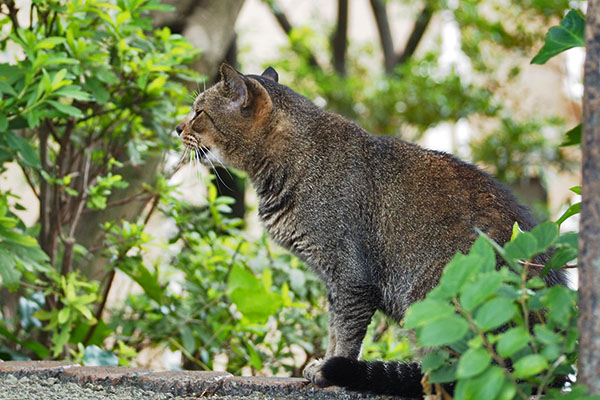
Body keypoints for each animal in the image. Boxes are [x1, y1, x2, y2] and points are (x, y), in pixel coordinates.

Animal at [175, 63, 568, 396]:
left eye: (198, 112)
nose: (177, 128)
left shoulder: (351, 276)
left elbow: (346, 332)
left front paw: (331, 370)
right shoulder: (333, 279)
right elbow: (333, 327)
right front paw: (323, 361)